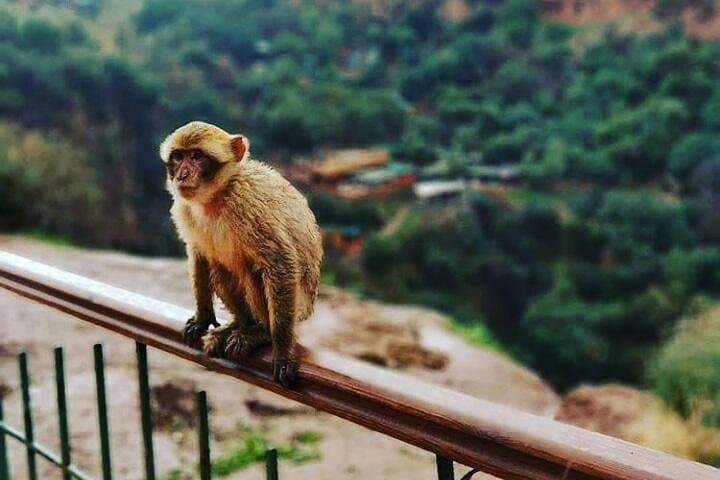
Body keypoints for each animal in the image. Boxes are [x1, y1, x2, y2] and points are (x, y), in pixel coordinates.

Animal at [160, 121, 323, 387]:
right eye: (179, 157)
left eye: (197, 157)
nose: (182, 175)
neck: (217, 196)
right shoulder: (185, 208)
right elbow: (200, 254)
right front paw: (203, 317)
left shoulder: (247, 205)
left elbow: (280, 263)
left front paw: (283, 349)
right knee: (220, 266)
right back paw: (241, 324)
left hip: (298, 308)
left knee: (254, 271)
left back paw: (261, 332)